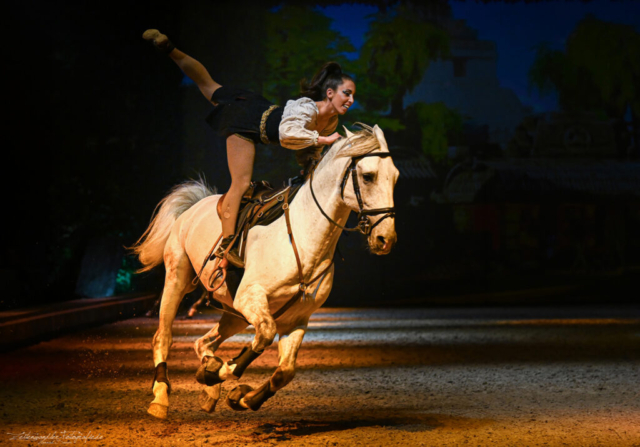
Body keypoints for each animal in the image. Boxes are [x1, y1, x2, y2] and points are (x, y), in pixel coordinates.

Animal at [132, 123, 398, 420]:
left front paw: (241, 396)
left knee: (204, 343)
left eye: (395, 178)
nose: (385, 239)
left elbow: (285, 372)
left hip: (233, 312)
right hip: (178, 279)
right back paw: (161, 397)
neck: (303, 238)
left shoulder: (297, 318)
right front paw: (222, 373)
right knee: (162, 337)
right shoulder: (252, 298)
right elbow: (265, 336)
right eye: (368, 176)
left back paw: (209, 386)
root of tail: (195, 206)